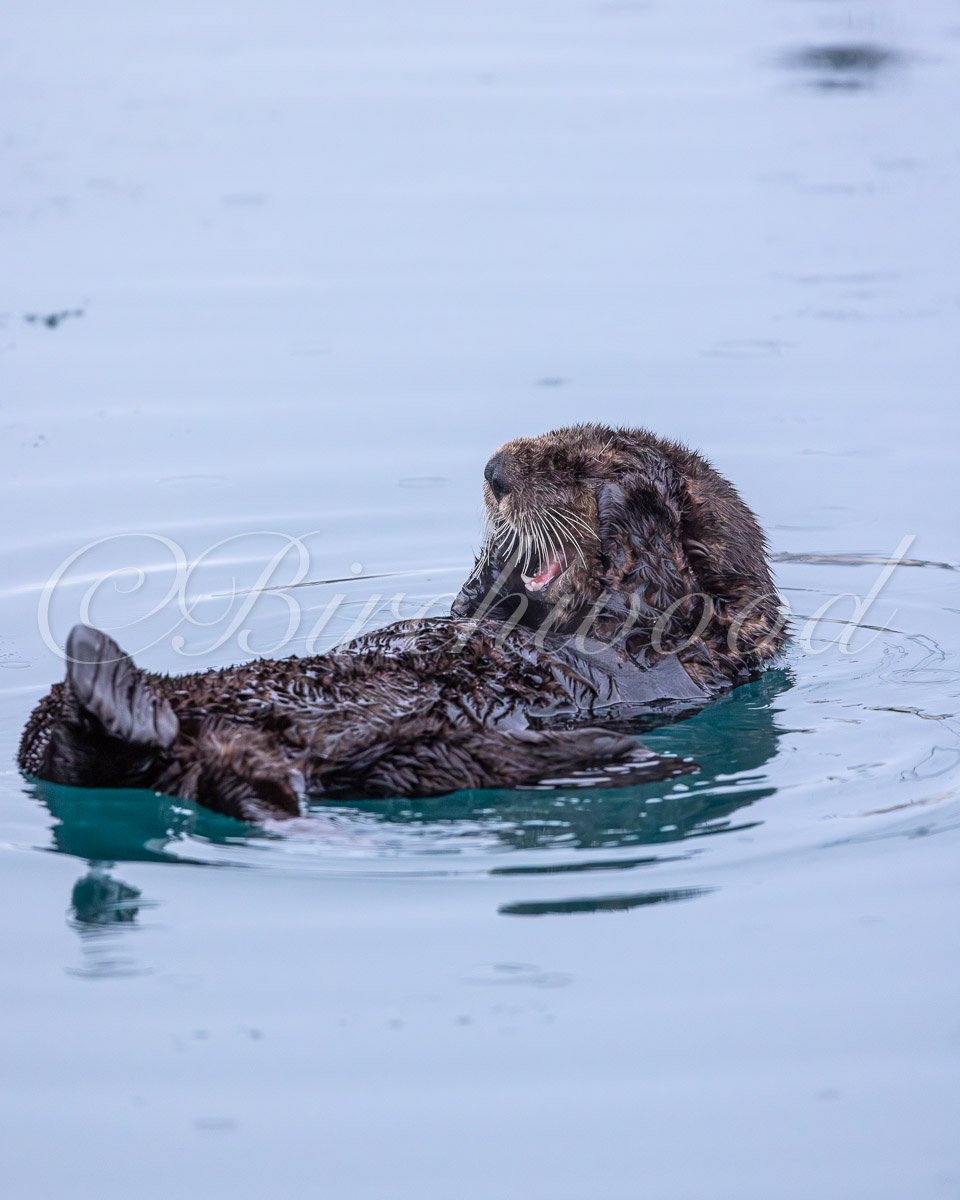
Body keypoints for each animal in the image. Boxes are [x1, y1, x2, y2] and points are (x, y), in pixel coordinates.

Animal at [18, 424, 786, 822]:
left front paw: (634, 503)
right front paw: (498, 562)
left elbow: (652, 586)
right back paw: (102, 673)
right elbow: (467, 607)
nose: (495, 471)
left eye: (571, 464)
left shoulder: (681, 648)